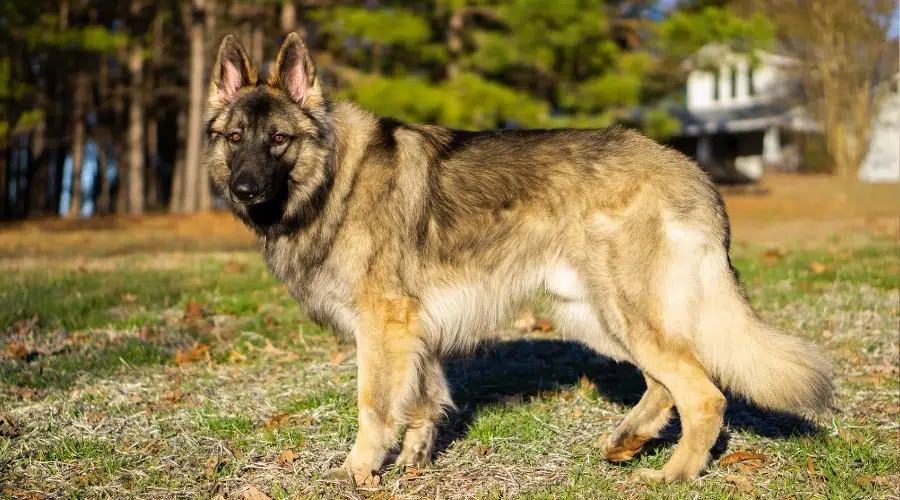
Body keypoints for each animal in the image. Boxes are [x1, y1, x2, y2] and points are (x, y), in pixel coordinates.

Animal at [206, 33, 836, 486]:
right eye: (235, 138)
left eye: (279, 140)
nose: (243, 189)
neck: (333, 177)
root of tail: (690, 170)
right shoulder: (414, 336)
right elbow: (422, 402)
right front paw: (413, 463)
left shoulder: (383, 328)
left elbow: (374, 406)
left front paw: (358, 470)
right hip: (594, 316)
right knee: (665, 385)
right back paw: (627, 442)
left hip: (623, 314)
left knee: (704, 395)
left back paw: (672, 475)